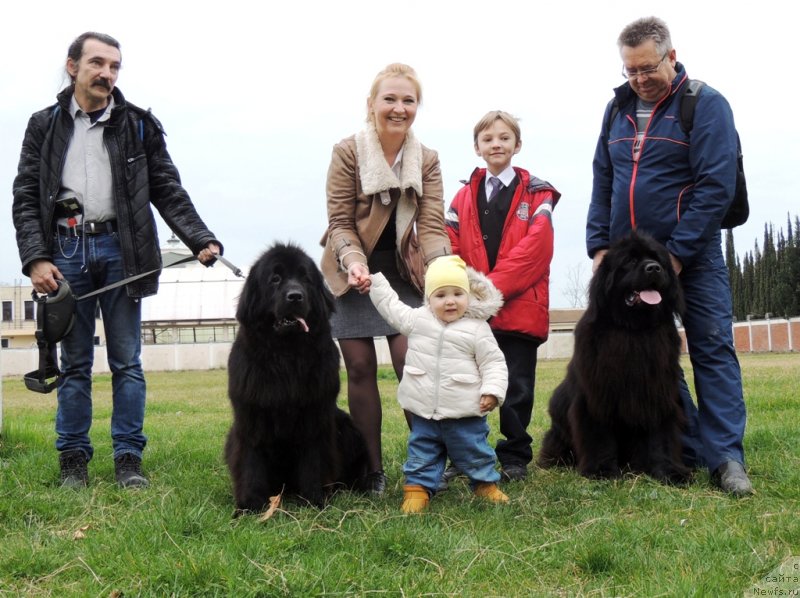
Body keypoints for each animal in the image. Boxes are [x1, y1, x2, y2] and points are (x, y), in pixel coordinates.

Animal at [225, 241, 368, 512]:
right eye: (275, 279)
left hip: (346, 425)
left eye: (305, 279)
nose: (295, 296)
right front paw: (250, 504)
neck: (286, 356)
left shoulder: (315, 414)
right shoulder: (251, 415)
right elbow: (251, 460)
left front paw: (314, 498)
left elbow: (314, 459)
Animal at [536, 232, 688, 486]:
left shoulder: (658, 392)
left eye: (657, 259)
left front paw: (669, 471)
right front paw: (602, 471)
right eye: (630, 261)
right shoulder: (597, 397)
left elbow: (661, 436)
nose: (654, 268)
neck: (633, 329)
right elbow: (599, 435)